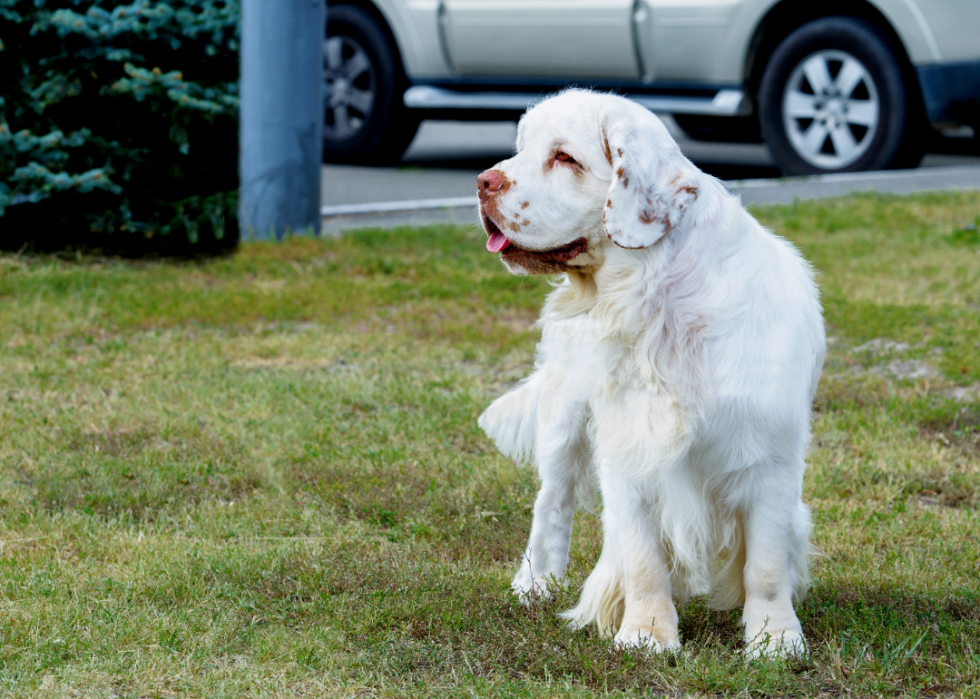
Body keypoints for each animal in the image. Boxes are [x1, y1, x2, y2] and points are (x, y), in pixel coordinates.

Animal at [478, 91, 824, 656]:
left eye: (564, 158)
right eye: (522, 149)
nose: (484, 181)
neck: (660, 306)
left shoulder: (770, 458)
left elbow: (767, 565)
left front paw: (774, 639)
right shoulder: (628, 448)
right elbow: (643, 558)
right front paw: (646, 633)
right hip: (564, 419)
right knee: (551, 503)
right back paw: (535, 585)